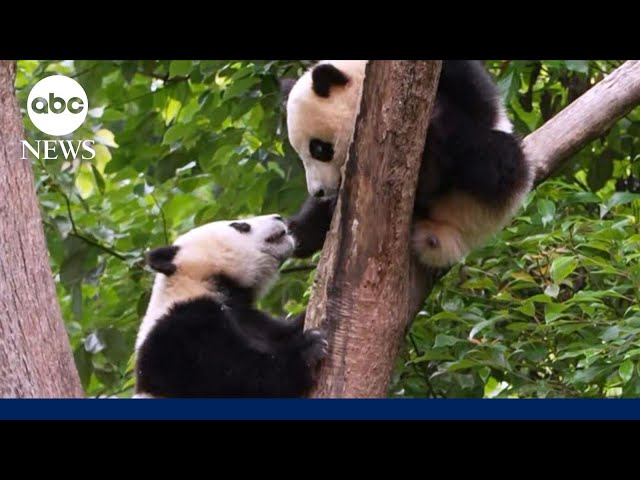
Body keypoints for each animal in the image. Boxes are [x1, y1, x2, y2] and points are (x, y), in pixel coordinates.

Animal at [133, 216, 328, 400]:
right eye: (240, 226)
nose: (279, 217)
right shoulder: (180, 332)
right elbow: (235, 378)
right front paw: (308, 349)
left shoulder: (251, 318)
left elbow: (283, 331)